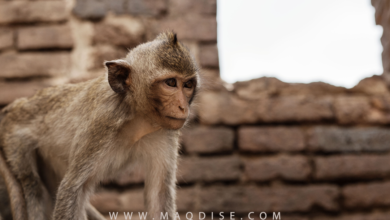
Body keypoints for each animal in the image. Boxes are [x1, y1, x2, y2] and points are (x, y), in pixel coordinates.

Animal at [0, 31, 200, 220]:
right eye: (171, 83)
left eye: (188, 84)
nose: (183, 107)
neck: (136, 116)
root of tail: (14, 107)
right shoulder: (102, 123)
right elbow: (71, 189)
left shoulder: (166, 132)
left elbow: (159, 196)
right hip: (13, 139)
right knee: (32, 184)